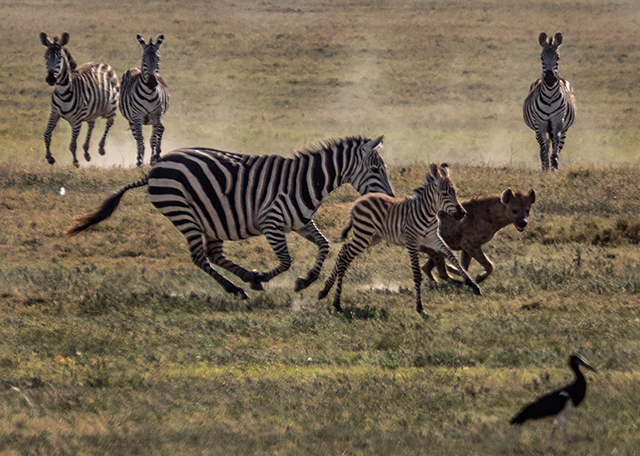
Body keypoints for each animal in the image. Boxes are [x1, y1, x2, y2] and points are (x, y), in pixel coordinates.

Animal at [39, 32, 119, 167]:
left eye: (60, 57)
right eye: (45, 56)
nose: (50, 79)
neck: (63, 93)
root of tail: (103, 63)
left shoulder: (76, 121)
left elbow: (72, 144)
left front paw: (76, 162)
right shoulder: (54, 113)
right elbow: (46, 135)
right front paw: (49, 158)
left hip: (111, 108)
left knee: (109, 123)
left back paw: (101, 148)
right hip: (91, 112)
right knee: (91, 125)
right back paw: (86, 151)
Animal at [66, 135, 396, 300]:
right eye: (376, 169)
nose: (392, 198)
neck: (306, 181)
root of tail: (155, 168)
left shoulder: (300, 223)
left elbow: (325, 245)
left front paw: (305, 281)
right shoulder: (271, 222)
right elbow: (285, 261)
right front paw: (264, 278)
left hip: (209, 220)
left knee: (214, 255)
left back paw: (244, 279)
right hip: (183, 212)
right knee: (200, 258)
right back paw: (237, 288)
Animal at [120, 33, 170, 167]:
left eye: (158, 59)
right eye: (144, 59)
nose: (152, 82)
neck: (149, 93)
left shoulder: (157, 115)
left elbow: (153, 138)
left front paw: (152, 159)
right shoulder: (137, 116)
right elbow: (141, 139)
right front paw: (140, 161)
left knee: (160, 130)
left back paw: (157, 154)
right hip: (131, 120)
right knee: (138, 138)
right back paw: (140, 157)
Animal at [320, 162, 480, 316]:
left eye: (456, 193)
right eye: (445, 193)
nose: (463, 213)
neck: (428, 214)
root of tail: (359, 200)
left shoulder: (433, 238)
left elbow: (452, 257)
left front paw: (473, 284)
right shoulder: (411, 242)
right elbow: (417, 274)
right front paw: (420, 308)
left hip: (372, 237)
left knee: (344, 250)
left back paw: (325, 290)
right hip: (363, 235)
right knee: (345, 257)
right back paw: (336, 303)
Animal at [524, 32, 576, 171]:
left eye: (557, 58)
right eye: (542, 58)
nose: (550, 79)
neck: (549, 97)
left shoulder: (558, 121)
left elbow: (556, 147)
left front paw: (554, 166)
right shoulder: (539, 123)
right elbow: (544, 148)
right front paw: (545, 167)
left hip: (563, 128)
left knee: (557, 145)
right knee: (545, 145)